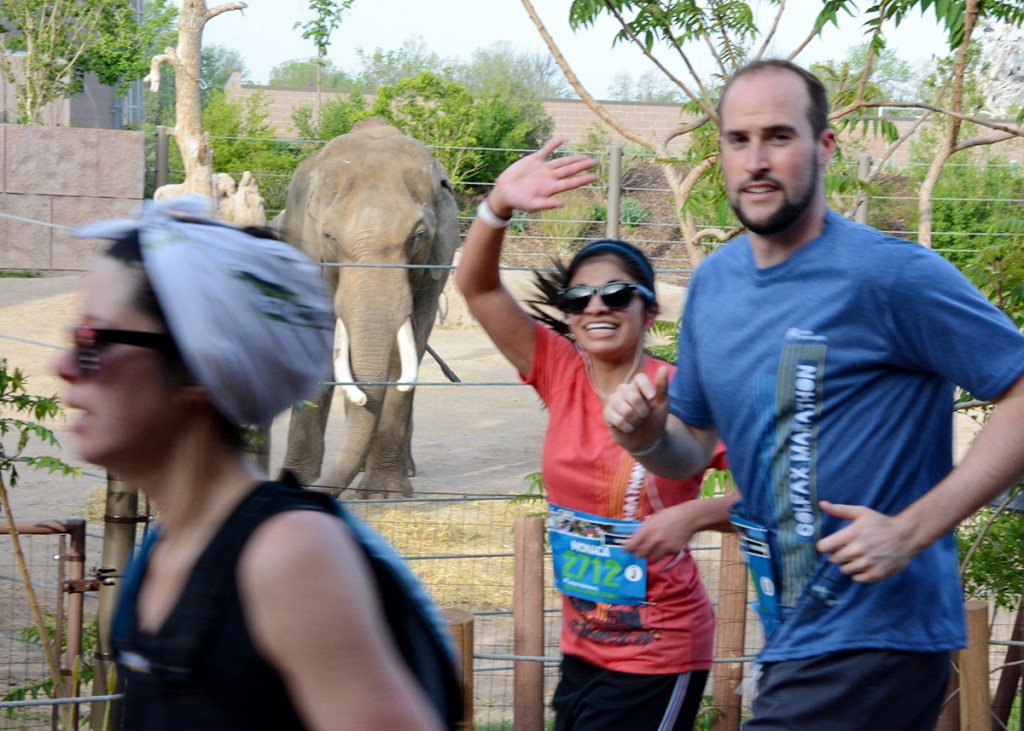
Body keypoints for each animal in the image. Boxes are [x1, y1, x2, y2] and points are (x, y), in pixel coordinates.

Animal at [276, 118, 460, 495]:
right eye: (329, 236)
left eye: (417, 236)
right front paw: (299, 481)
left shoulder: (435, 264)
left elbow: (405, 351)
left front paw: (384, 493)